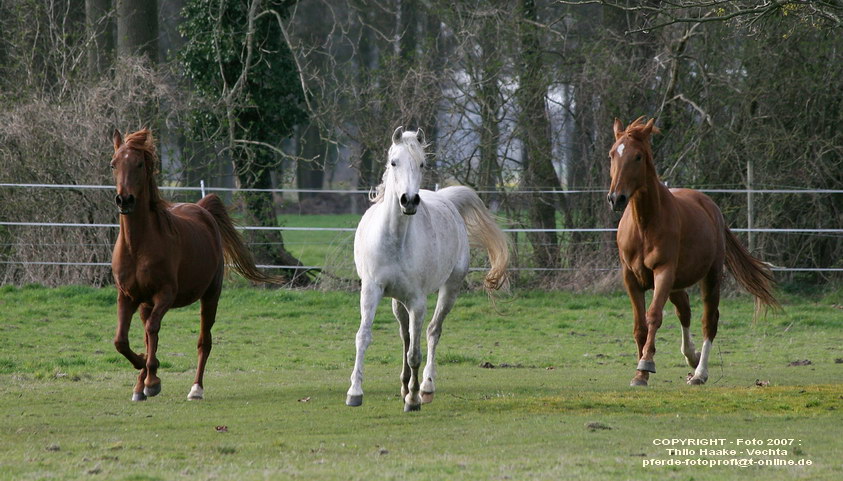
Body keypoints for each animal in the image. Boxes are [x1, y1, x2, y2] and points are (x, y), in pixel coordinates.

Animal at [107, 128, 280, 402]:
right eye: (114, 164)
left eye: (139, 163)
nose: (125, 200)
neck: (138, 246)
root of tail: (202, 210)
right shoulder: (127, 296)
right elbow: (122, 340)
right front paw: (143, 372)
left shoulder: (165, 294)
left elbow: (152, 329)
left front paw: (152, 379)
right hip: (146, 303)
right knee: (147, 335)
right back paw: (141, 383)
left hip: (210, 296)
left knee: (203, 342)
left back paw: (196, 388)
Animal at [348, 125, 512, 410]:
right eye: (394, 162)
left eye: (422, 164)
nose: (409, 201)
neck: (395, 240)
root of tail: (446, 198)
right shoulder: (371, 290)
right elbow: (364, 337)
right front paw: (355, 392)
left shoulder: (417, 300)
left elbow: (415, 352)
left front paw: (413, 400)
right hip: (397, 301)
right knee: (405, 336)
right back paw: (404, 385)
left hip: (450, 289)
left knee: (432, 332)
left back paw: (425, 387)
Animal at [608, 116, 780, 386]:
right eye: (612, 154)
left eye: (637, 156)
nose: (616, 198)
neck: (645, 224)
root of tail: (711, 206)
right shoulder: (631, 278)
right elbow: (640, 326)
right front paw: (640, 374)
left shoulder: (664, 272)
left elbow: (654, 316)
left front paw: (646, 363)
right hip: (676, 284)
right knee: (685, 312)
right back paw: (692, 357)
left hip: (709, 278)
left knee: (709, 320)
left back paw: (700, 373)